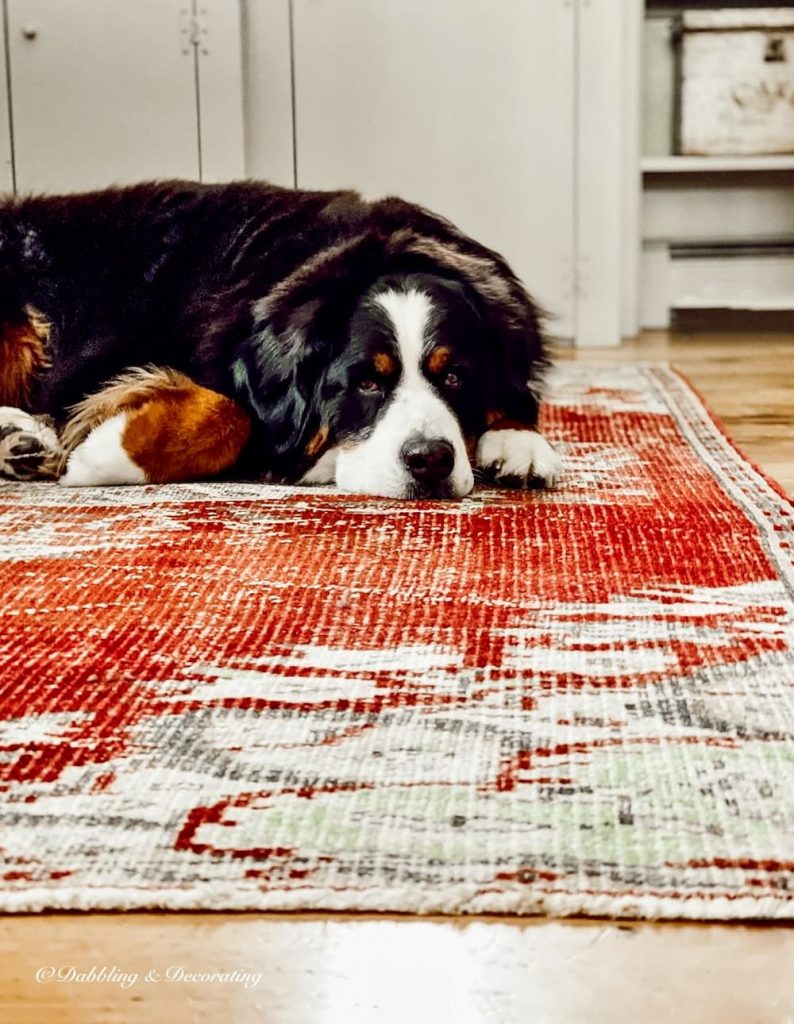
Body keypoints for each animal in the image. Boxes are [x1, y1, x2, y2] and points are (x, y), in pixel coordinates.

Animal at [0, 180, 557, 499]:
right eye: (366, 383)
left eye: (456, 377)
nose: (431, 459)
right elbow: (231, 414)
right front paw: (102, 455)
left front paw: (520, 442)